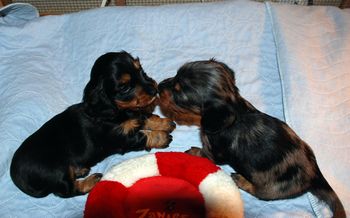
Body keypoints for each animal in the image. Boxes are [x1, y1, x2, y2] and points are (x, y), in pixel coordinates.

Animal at [10, 52, 175, 198]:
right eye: (124, 87)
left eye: (140, 70)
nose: (155, 90)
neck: (115, 111)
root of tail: (18, 180)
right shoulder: (121, 138)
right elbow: (143, 135)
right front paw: (162, 137)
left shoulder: (133, 115)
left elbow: (145, 118)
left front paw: (165, 122)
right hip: (56, 171)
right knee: (67, 190)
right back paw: (92, 180)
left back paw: (80, 170)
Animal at [158, 59, 344, 218]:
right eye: (175, 75)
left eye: (178, 92)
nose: (159, 86)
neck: (235, 110)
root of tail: (315, 176)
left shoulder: (214, 152)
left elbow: (203, 153)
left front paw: (194, 151)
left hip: (272, 189)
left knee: (260, 193)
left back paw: (241, 180)